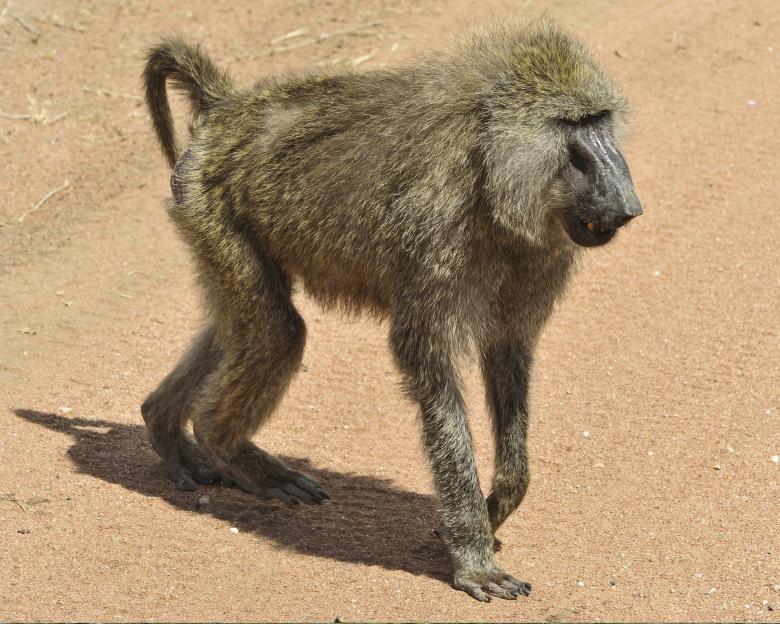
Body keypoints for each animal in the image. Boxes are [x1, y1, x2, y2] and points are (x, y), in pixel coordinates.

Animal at [140, 18, 642, 602]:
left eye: (600, 119)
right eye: (571, 125)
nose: (628, 205)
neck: (488, 171)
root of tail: (230, 109)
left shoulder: (537, 261)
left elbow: (507, 351)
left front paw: (495, 506)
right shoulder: (438, 236)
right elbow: (428, 367)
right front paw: (474, 557)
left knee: (240, 328)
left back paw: (164, 426)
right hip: (208, 204)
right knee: (276, 332)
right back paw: (225, 445)